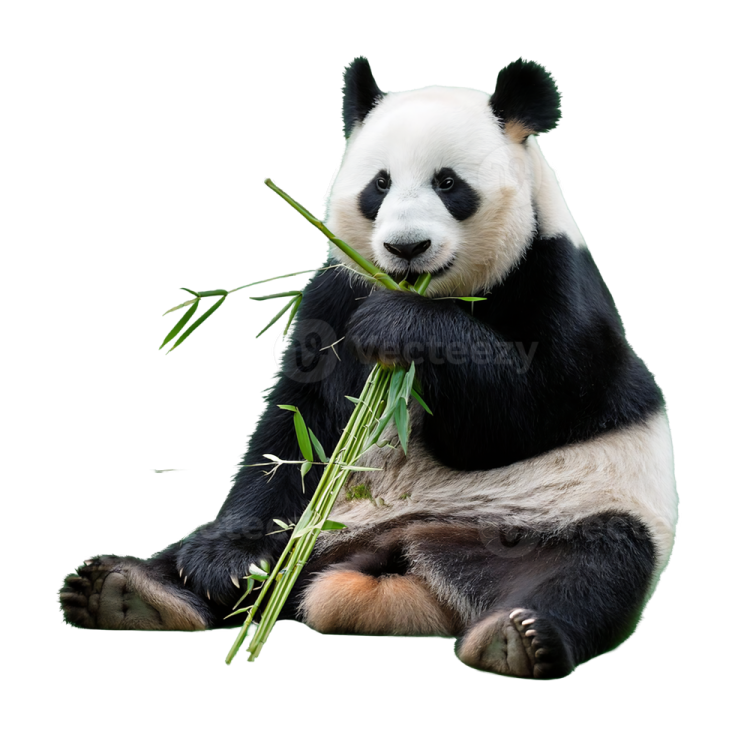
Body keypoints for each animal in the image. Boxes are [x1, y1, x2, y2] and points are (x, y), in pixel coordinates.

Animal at [59, 56, 678, 679]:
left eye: (448, 183)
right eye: (379, 184)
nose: (406, 248)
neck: (436, 290)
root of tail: (396, 556)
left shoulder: (553, 278)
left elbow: (527, 414)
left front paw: (401, 326)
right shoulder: (339, 291)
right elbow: (298, 430)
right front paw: (224, 562)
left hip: (554, 517)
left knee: (593, 567)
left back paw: (519, 639)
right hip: (315, 532)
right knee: (230, 552)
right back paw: (129, 593)